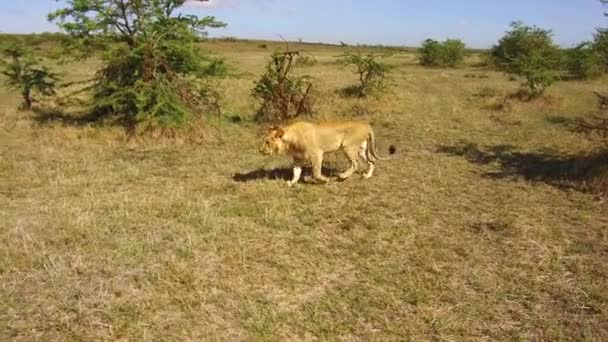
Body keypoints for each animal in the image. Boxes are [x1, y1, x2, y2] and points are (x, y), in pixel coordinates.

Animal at [258, 119, 392, 186]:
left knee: (355, 164)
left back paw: (342, 176)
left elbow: (316, 172)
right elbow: (296, 172)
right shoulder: (298, 159)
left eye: (267, 142)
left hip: (348, 147)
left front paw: (324, 180)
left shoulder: (317, 154)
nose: (260, 150)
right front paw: (291, 183)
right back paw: (367, 176)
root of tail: (366, 125)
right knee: (371, 161)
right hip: (361, 149)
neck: (290, 141)